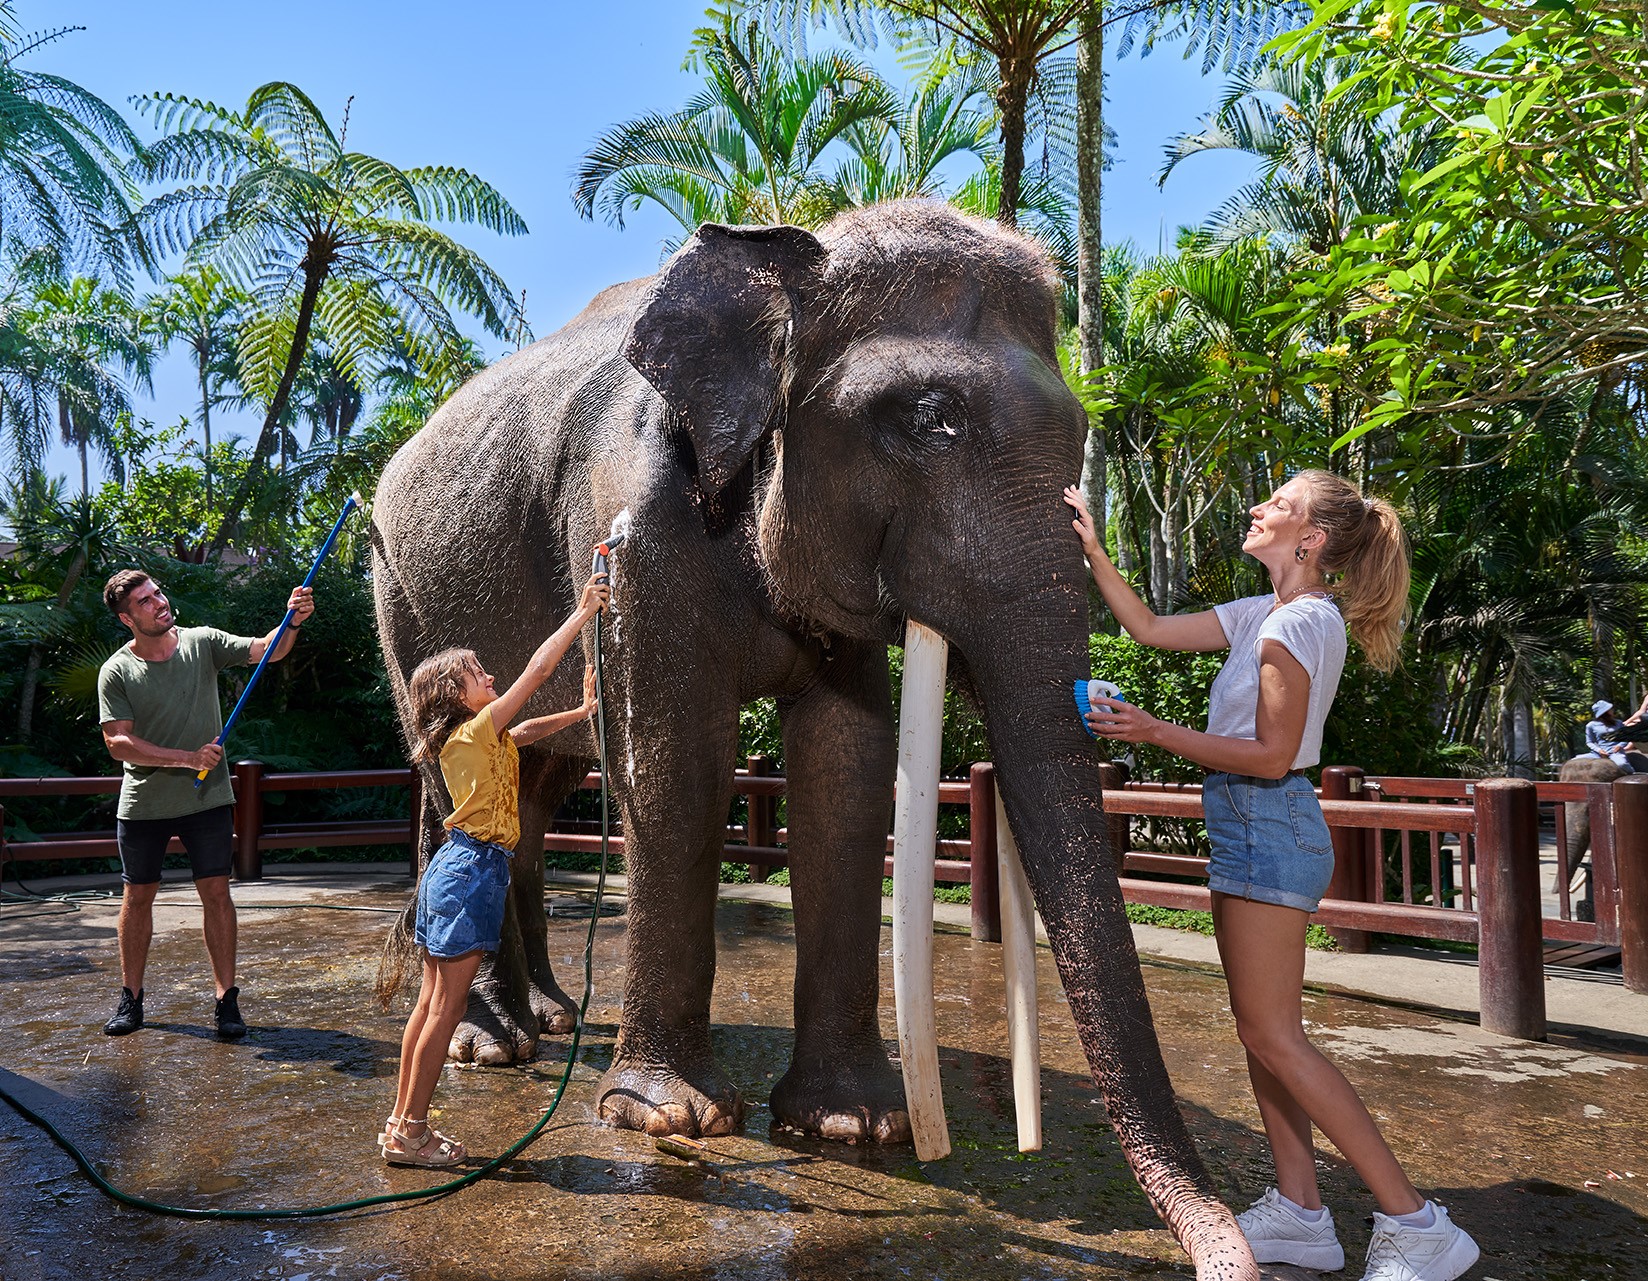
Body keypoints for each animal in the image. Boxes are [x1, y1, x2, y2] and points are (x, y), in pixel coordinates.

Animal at [367, 199, 1252, 1279]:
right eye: (928, 418)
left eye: (1083, 433)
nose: (1225, 1253)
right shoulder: (637, 527)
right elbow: (676, 765)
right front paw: (668, 1120)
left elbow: (846, 767)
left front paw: (849, 1127)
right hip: (403, 595)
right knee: (457, 775)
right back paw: (494, 1045)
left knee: (530, 794)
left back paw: (552, 1017)